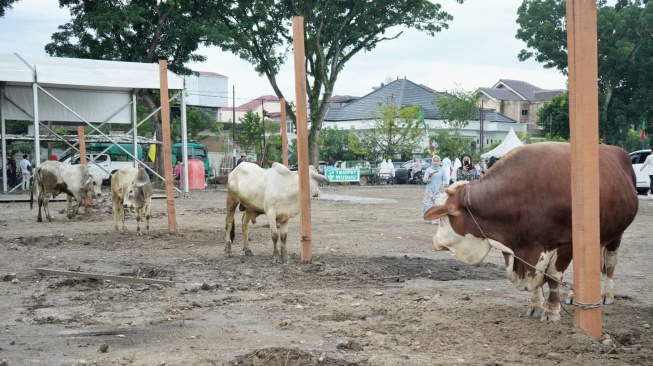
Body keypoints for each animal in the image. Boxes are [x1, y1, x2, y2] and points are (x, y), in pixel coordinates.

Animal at [422, 142, 636, 322]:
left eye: (442, 219)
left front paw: (552, 310)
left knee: (610, 263)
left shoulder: (565, 244)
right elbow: (539, 280)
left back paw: (607, 293)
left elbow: (552, 278)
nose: (435, 240)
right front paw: (535, 305)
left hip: (616, 234)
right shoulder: (528, 249)